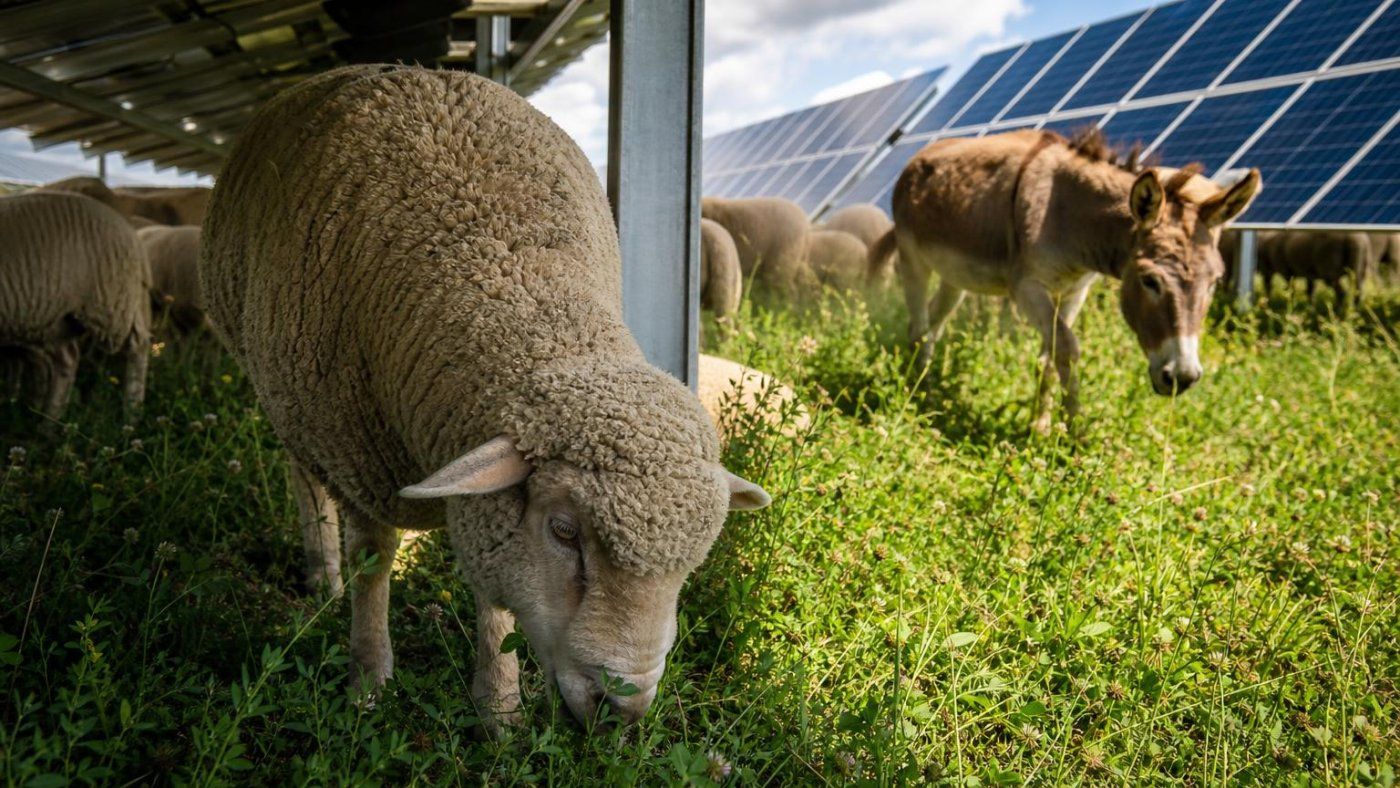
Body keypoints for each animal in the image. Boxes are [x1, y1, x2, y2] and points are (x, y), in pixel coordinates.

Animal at [0, 191, 150, 419]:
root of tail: (132, 236)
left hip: (113, 301)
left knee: (137, 346)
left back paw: (132, 414)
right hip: (57, 319)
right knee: (67, 360)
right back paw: (47, 420)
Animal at [199, 64, 771, 733]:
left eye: (691, 565)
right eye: (564, 532)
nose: (621, 713)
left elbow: (492, 593)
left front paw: (499, 706)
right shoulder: (352, 446)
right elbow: (373, 559)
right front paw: (369, 679)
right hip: (281, 393)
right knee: (305, 480)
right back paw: (323, 573)